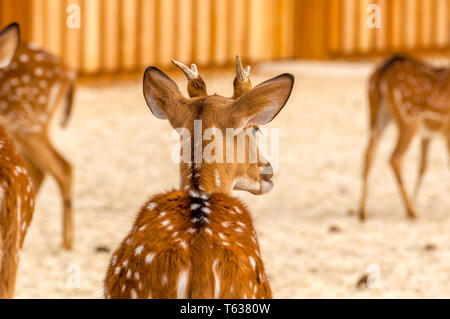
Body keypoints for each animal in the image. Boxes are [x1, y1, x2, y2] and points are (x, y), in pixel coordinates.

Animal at [358, 54, 450, 220]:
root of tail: (384, 72)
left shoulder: (428, 134)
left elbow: (423, 167)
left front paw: (415, 199)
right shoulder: (446, 131)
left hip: (377, 115)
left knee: (369, 153)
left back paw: (362, 212)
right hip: (409, 118)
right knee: (395, 157)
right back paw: (411, 211)